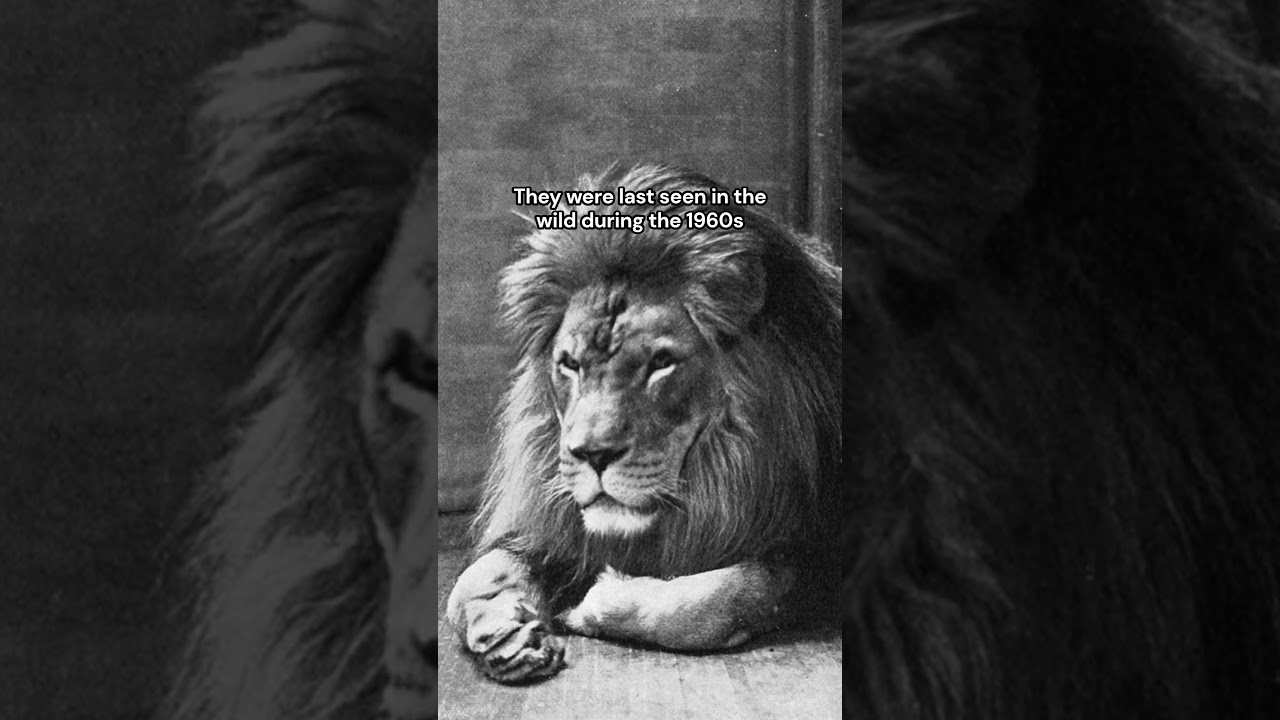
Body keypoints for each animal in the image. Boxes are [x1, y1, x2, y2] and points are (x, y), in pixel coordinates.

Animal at [445, 164, 842, 682]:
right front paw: (509, 635)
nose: (591, 455)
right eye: (570, 364)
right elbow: (469, 582)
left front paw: (591, 603)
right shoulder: (550, 532)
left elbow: (712, 600)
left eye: (660, 363)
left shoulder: (808, 551)